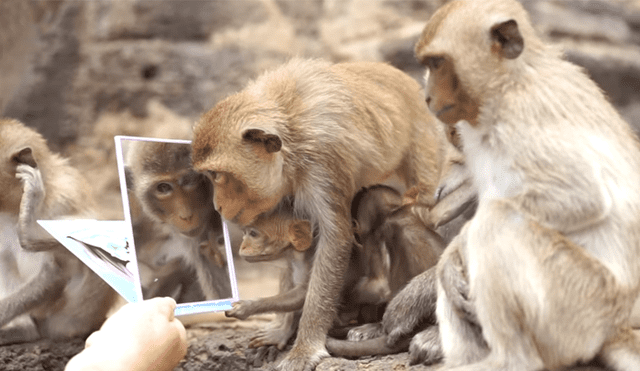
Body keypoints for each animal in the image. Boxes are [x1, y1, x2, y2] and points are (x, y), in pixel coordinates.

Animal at [192, 58, 452, 371]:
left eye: (217, 175)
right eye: (209, 176)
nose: (217, 206)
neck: (290, 127)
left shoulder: (323, 161)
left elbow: (335, 238)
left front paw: (305, 346)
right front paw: (281, 330)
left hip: (427, 146)